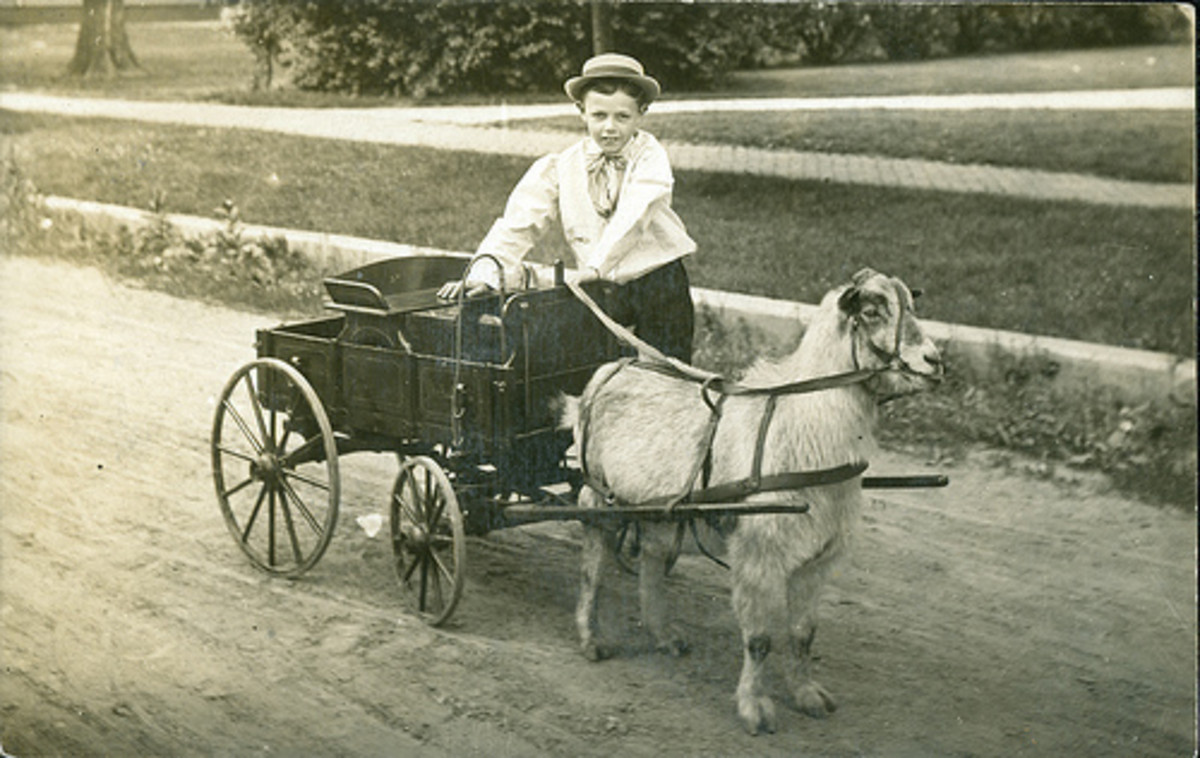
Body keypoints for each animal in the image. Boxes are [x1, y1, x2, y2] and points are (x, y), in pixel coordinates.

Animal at [564, 268, 942, 735]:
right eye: (872, 312)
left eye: (911, 306)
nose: (935, 362)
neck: (801, 426)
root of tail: (610, 369)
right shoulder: (759, 551)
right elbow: (760, 639)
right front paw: (755, 708)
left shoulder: (818, 560)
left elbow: (803, 634)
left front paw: (807, 694)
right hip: (597, 496)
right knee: (592, 571)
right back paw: (591, 638)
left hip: (659, 512)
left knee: (652, 560)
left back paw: (664, 635)